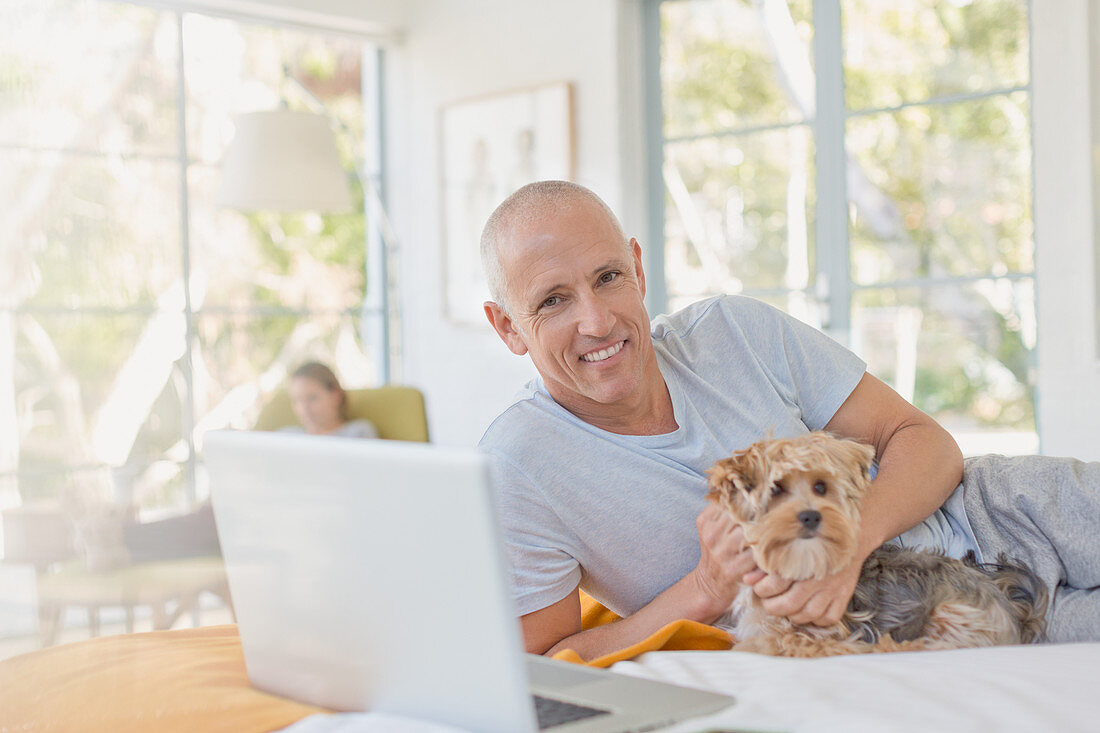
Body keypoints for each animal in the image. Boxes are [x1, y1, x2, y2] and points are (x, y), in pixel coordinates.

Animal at [704, 431, 1047, 651]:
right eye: (775, 489)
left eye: (820, 487)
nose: (811, 516)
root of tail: (1010, 603)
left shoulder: (825, 636)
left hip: (955, 614)